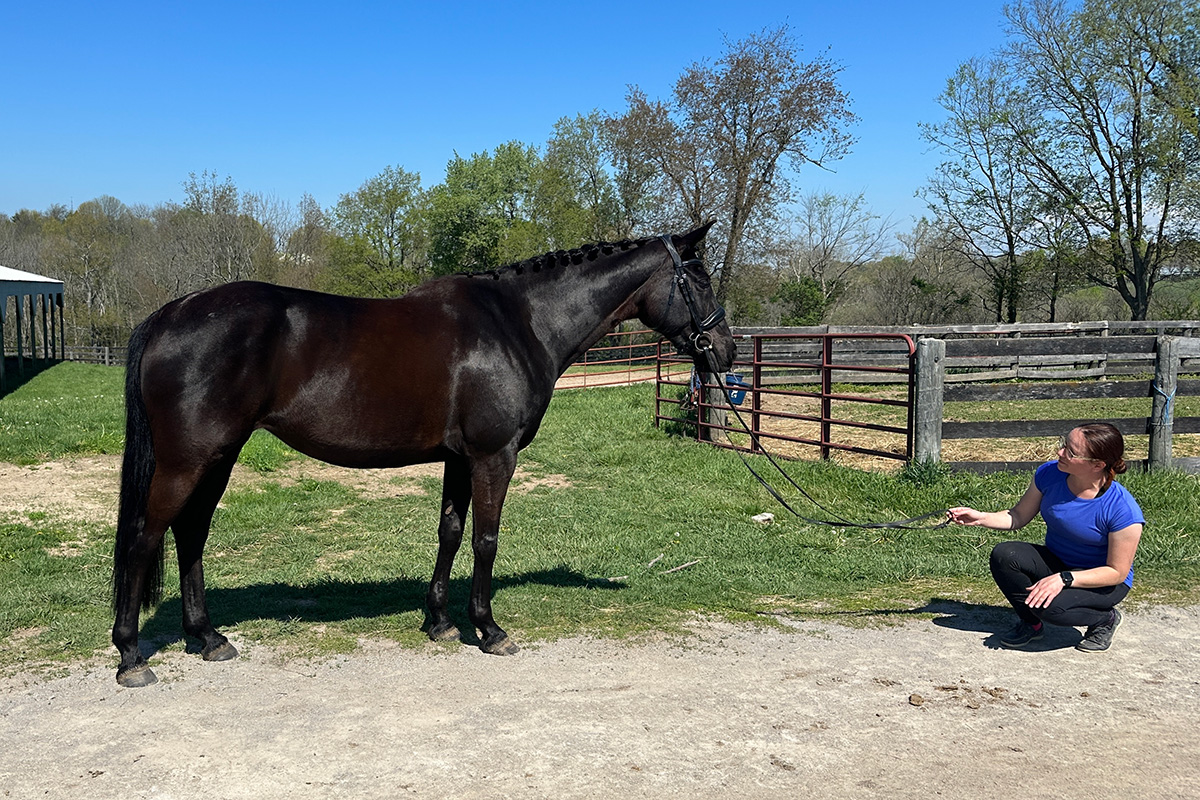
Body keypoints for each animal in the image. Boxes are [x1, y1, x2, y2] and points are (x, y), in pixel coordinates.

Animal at [112, 221, 734, 686]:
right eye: (700, 280)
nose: (725, 352)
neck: (519, 322)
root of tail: (173, 311)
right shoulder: (494, 455)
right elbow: (486, 539)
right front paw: (489, 630)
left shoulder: (459, 458)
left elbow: (451, 532)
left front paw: (440, 622)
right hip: (187, 460)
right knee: (146, 536)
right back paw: (131, 657)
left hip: (218, 457)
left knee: (190, 533)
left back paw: (208, 638)